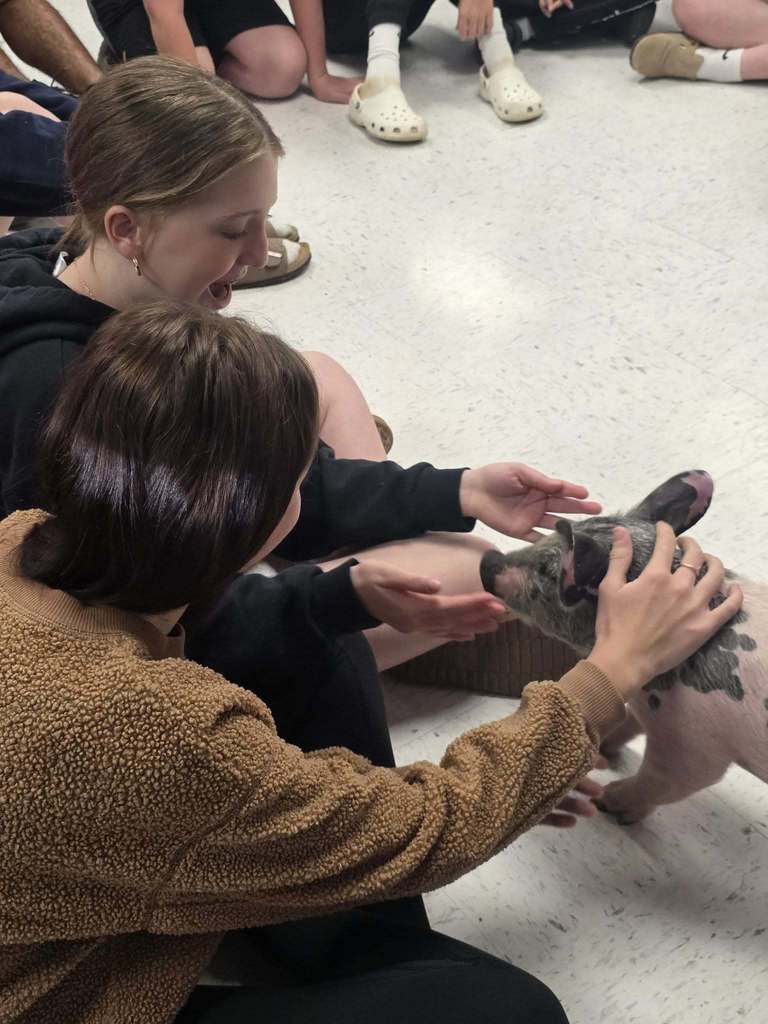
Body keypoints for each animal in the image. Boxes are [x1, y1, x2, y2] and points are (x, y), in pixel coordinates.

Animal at [480, 470, 768, 825]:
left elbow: (664, 780)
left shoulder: (695, 746)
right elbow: (627, 721)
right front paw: (604, 749)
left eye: (548, 572)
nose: (487, 559)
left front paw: (605, 802)